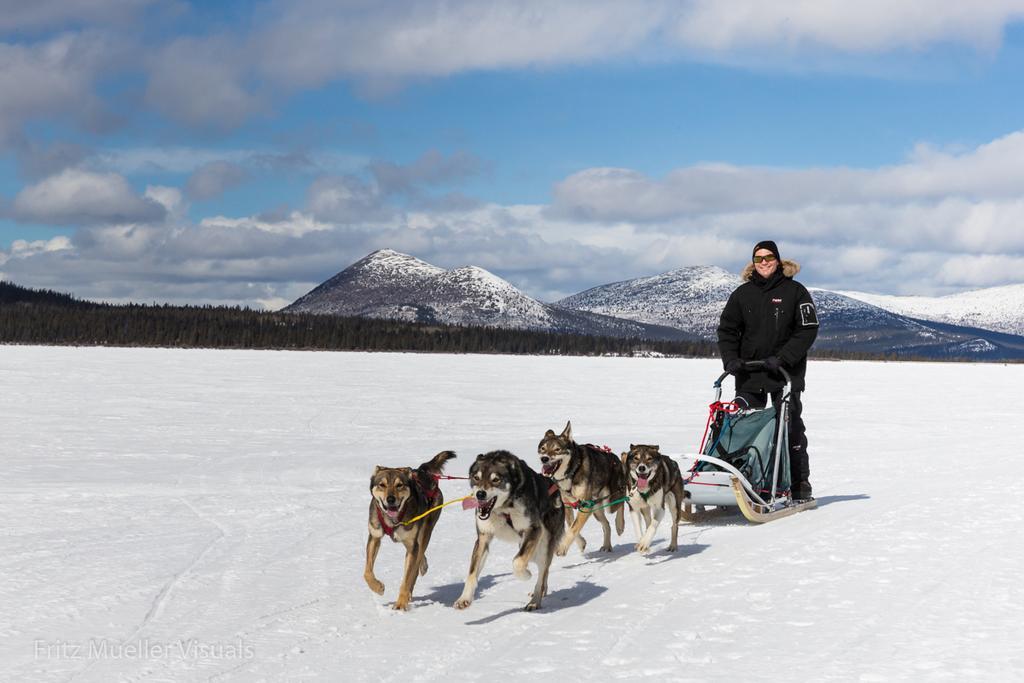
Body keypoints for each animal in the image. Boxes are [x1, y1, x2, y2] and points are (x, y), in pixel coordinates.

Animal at [362, 450, 454, 610]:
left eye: (399, 485)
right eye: (382, 485)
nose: (390, 499)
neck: (393, 520)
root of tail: (423, 472)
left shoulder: (412, 544)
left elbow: (407, 578)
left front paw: (400, 604)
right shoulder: (374, 536)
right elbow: (367, 571)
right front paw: (377, 587)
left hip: (424, 533)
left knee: (415, 565)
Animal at [456, 450, 565, 610]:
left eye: (496, 480)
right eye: (476, 478)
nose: (480, 494)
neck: (503, 509)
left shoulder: (533, 529)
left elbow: (517, 562)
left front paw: (526, 574)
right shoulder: (483, 538)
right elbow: (472, 573)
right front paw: (465, 598)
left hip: (544, 543)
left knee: (542, 571)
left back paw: (535, 601)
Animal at [536, 421, 622, 557]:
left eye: (557, 449)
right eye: (543, 448)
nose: (544, 458)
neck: (572, 472)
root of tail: (617, 459)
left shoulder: (585, 505)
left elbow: (574, 528)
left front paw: (562, 548)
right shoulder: (569, 504)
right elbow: (571, 525)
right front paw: (581, 543)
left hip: (610, 501)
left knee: (622, 501)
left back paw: (620, 525)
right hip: (596, 508)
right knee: (606, 525)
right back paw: (607, 545)